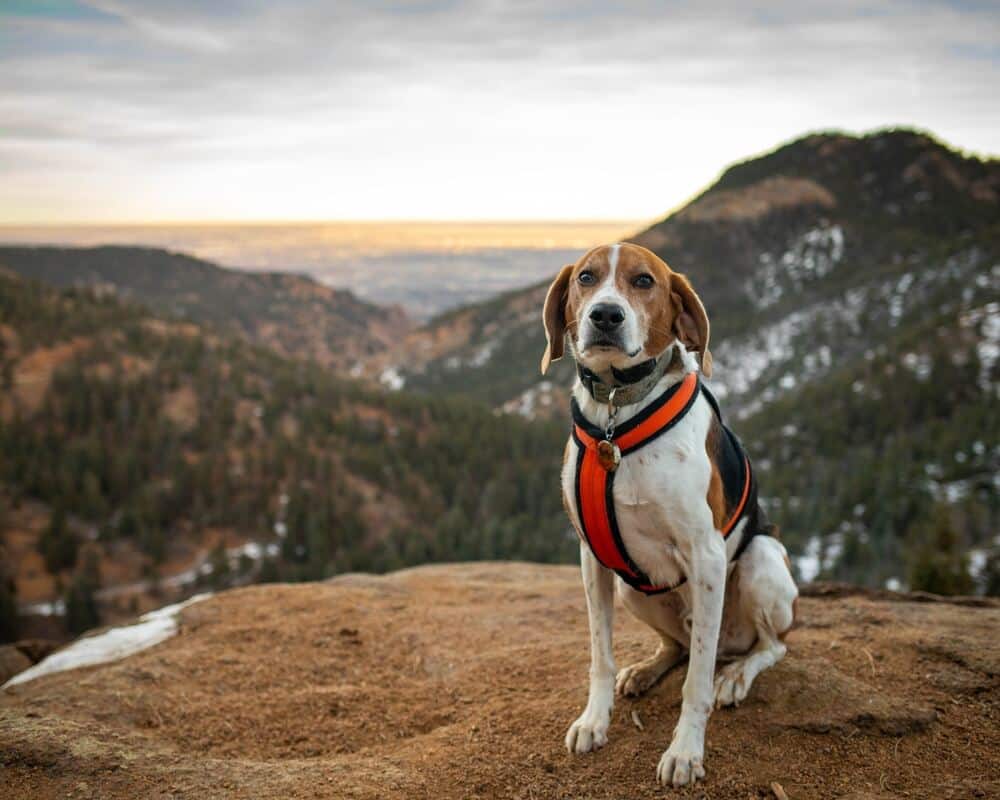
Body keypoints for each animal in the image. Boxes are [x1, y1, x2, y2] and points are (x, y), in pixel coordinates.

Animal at [540, 242, 796, 788]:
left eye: (644, 282)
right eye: (587, 277)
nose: (605, 315)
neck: (617, 408)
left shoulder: (707, 557)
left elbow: (695, 684)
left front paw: (685, 751)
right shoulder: (593, 557)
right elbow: (599, 654)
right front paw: (595, 720)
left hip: (762, 561)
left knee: (769, 646)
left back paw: (736, 675)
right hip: (630, 587)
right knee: (678, 646)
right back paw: (645, 670)